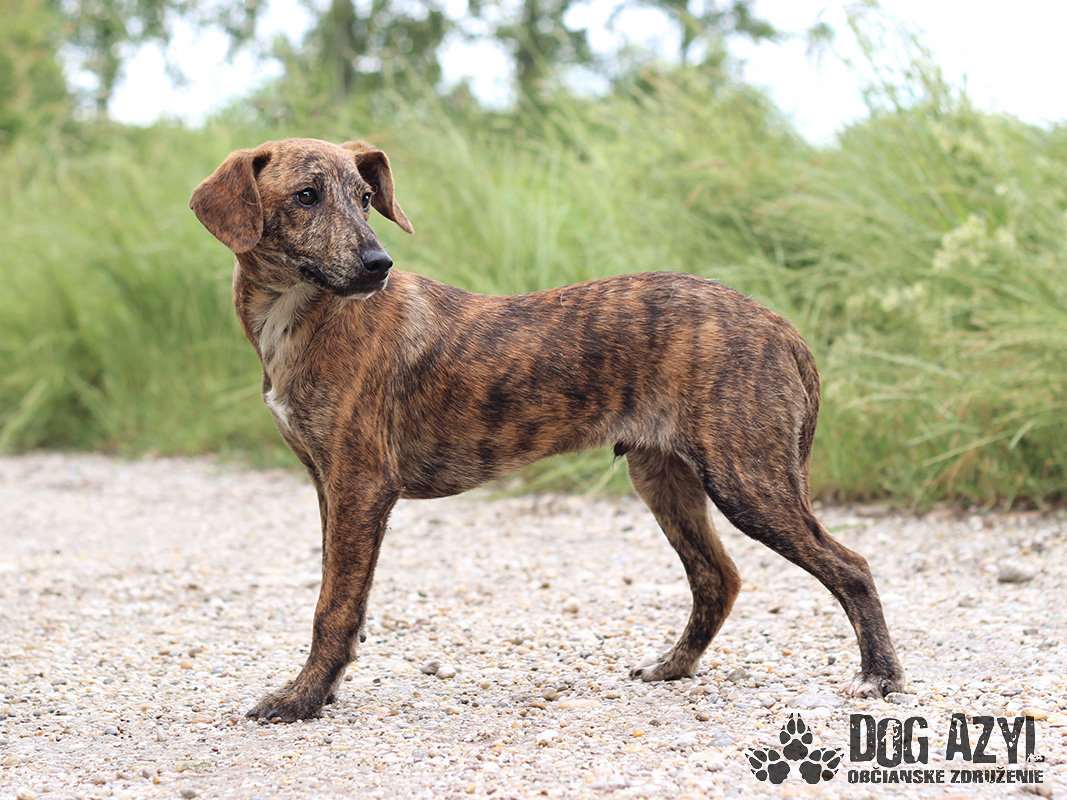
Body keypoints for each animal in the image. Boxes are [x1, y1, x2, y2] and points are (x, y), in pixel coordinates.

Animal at [190, 137, 905, 722]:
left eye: (366, 198)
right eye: (306, 196)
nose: (377, 263)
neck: (301, 316)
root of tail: (779, 326)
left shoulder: (361, 485)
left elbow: (332, 607)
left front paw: (302, 699)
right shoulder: (329, 485)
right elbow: (345, 597)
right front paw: (325, 688)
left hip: (748, 478)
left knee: (850, 566)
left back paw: (879, 678)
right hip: (666, 478)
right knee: (717, 578)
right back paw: (673, 667)